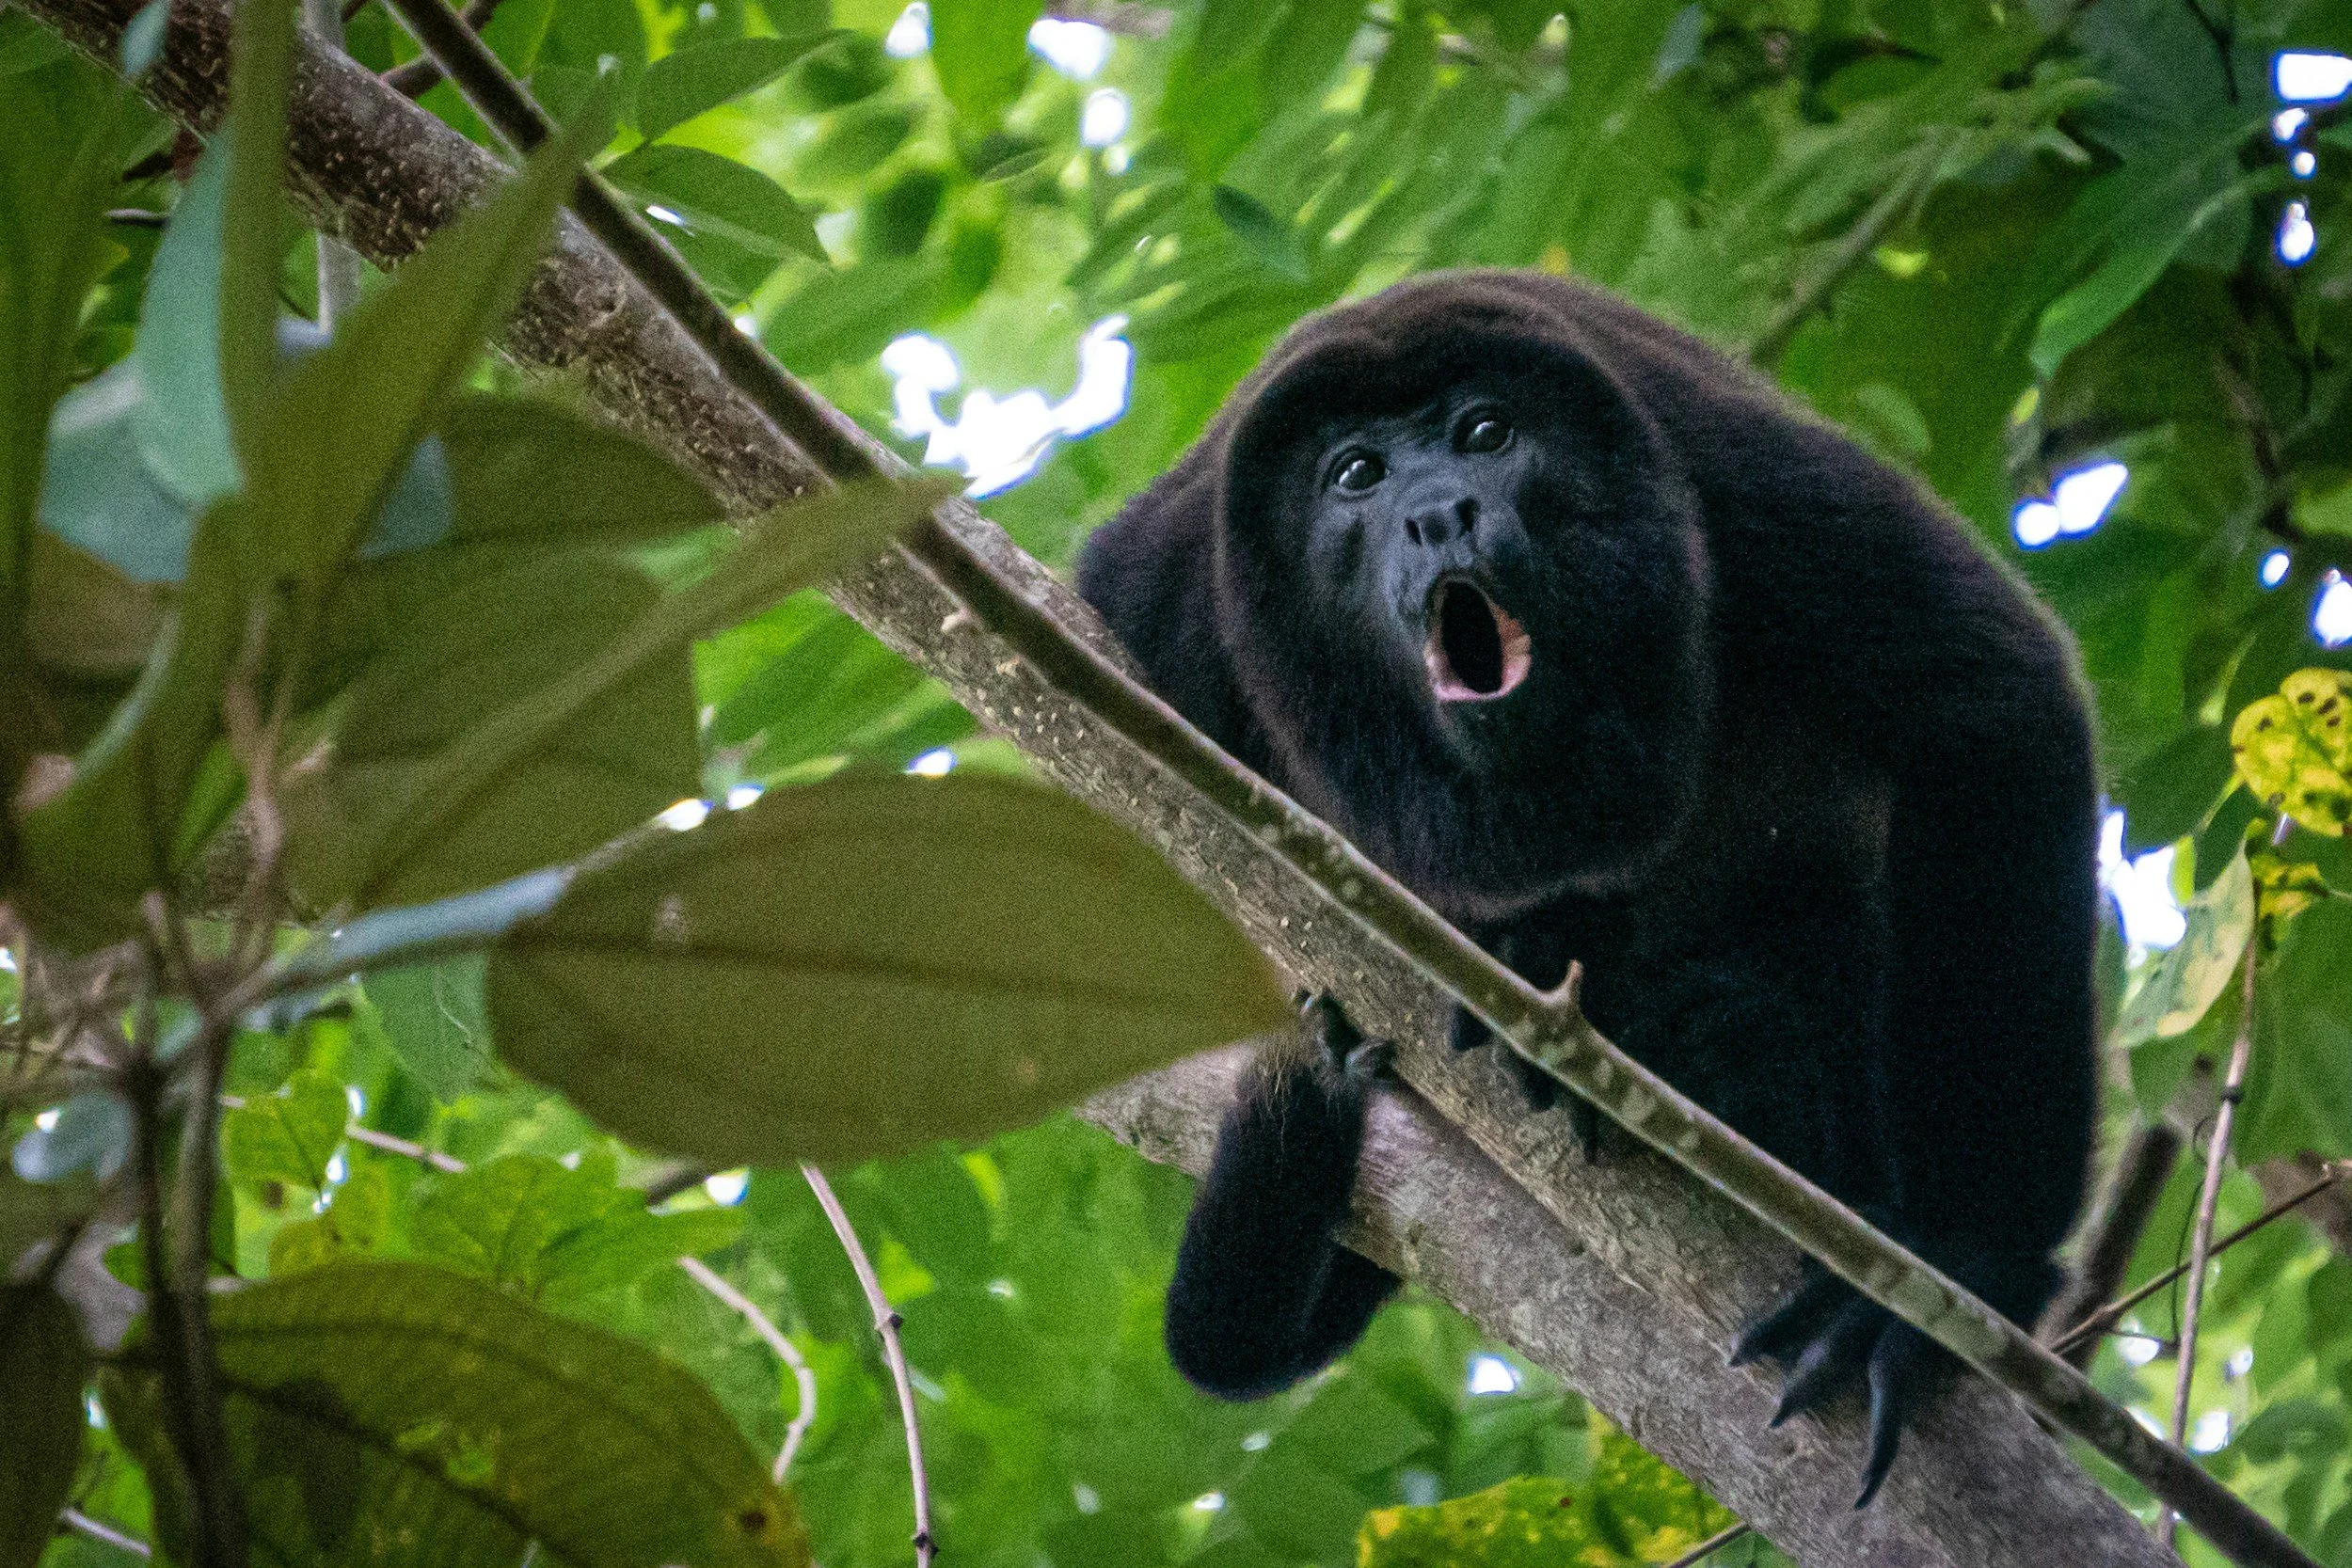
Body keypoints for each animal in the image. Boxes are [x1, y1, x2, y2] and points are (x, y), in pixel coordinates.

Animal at [1074, 269, 2098, 1504]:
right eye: (1356, 474)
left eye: (1484, 434)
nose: (1439, 512)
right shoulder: (1164, 597)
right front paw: (1514, 952)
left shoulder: (1732, 473)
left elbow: (1991, 707)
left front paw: (1958, 1264)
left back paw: (1739, 1046)